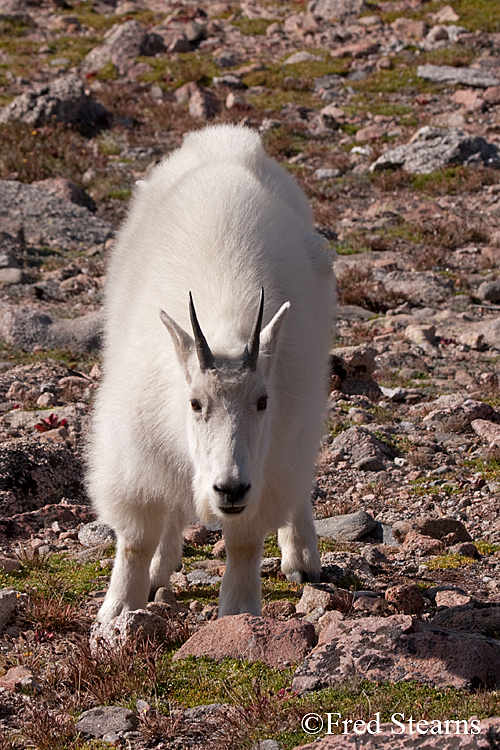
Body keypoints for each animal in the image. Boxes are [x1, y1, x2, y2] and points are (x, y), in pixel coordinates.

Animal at [86, 124, 336, 622]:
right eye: (195, 403)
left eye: (263, 401)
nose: (230, 488)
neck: (224, 328)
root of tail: (225, 138)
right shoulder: (133, 455)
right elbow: (135, 539)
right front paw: (118, 610)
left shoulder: (268, 464)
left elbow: (244, 545)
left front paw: (238, 614)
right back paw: (161, 570)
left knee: (298, 488)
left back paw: (302, 559)